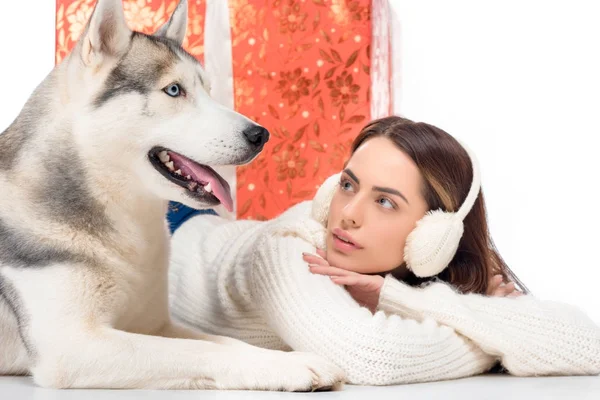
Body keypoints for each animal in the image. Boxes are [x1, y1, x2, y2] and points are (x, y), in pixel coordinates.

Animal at [0, 0, 344, 390]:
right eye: (175, 90)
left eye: (208, 89)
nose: (260, 135)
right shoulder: (72, 345)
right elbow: (203, 351)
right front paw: (288, 366)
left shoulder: (155, 324)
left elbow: (225, 341)